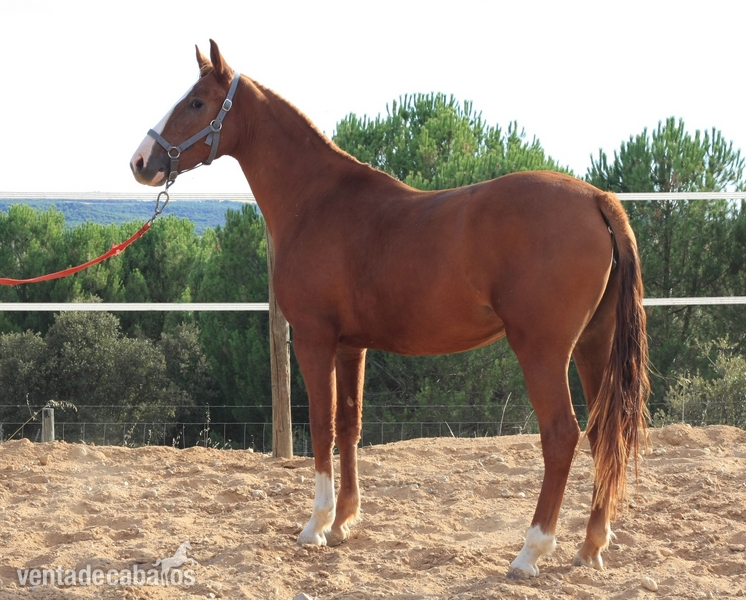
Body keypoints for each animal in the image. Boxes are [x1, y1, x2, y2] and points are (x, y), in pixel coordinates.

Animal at [131, 40, 649, 578]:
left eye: (196, 102)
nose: (142, 161)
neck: (317, 200)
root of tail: (597, 199)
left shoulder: (314, 340)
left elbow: (321, 425)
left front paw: (316, 525)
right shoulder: (350, 346)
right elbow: (349, 425)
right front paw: (343, 521)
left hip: (543, 351)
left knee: (562, 435)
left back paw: (531, 551)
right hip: (593, 345)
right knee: (603, 434)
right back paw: (591, 545)